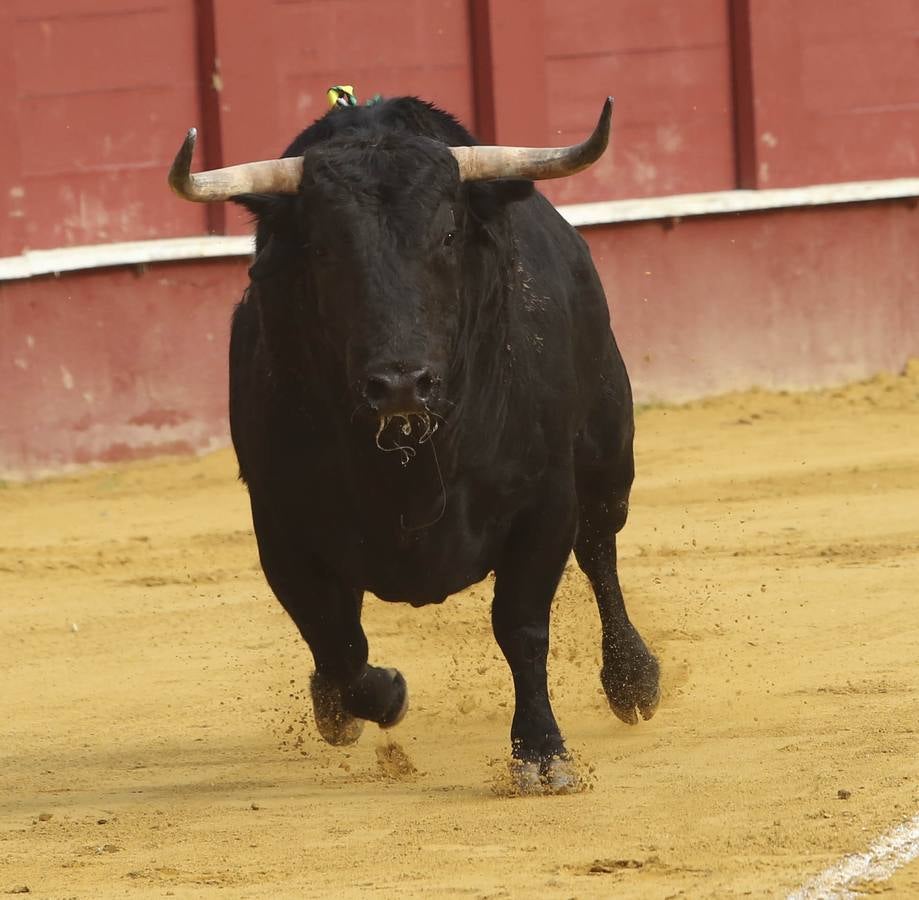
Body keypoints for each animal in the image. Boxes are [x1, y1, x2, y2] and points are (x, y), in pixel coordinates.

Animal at [169, 95, 660, 792]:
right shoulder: (281, 529)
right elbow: (338, 641)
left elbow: (521, 625)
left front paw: (542, 753)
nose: (400, 384)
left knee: (599, 549)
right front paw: (377, 696)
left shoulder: (544, 502)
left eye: (448, 236)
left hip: (606, 453)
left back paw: (633, 680)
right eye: (322, 246)